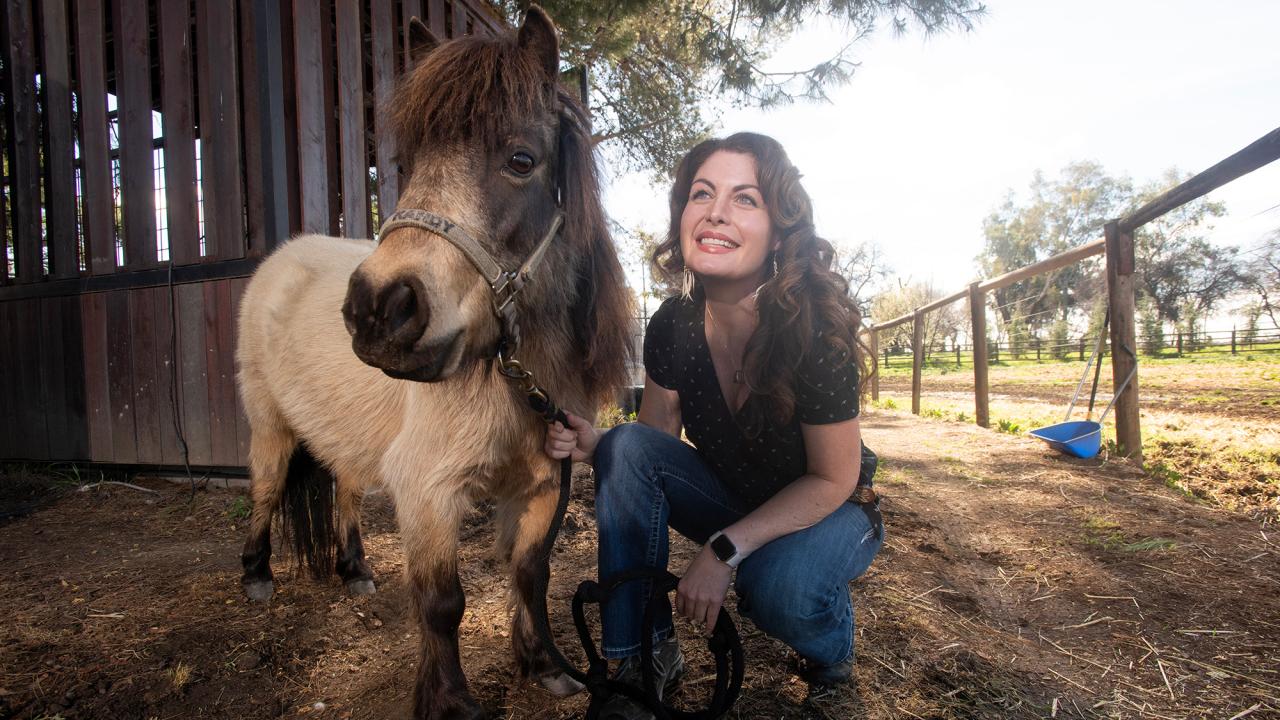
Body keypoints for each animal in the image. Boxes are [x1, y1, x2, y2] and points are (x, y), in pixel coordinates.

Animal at [234, 8, 632, 718]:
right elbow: (443, 603)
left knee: (344, 487)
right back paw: (257, 576)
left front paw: (542, 665)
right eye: (406, 163)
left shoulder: (543, 481)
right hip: (271, 428)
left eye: (521, 159)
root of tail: (281, 258)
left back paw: (356, 571)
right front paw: (450, 702)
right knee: (265, 490)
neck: (516, 375)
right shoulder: (428, 490)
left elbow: (531, 572)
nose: (376, 310)